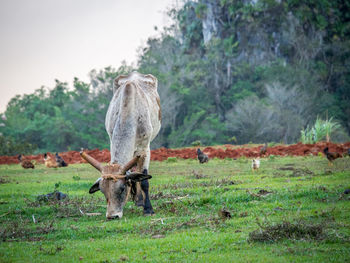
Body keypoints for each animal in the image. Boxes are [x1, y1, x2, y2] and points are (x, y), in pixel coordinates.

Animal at [82, 71, 161, 220]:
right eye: (102, 190)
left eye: (122, 188)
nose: (112, 216)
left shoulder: (145, 148)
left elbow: (144, 180)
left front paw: (148, 209)